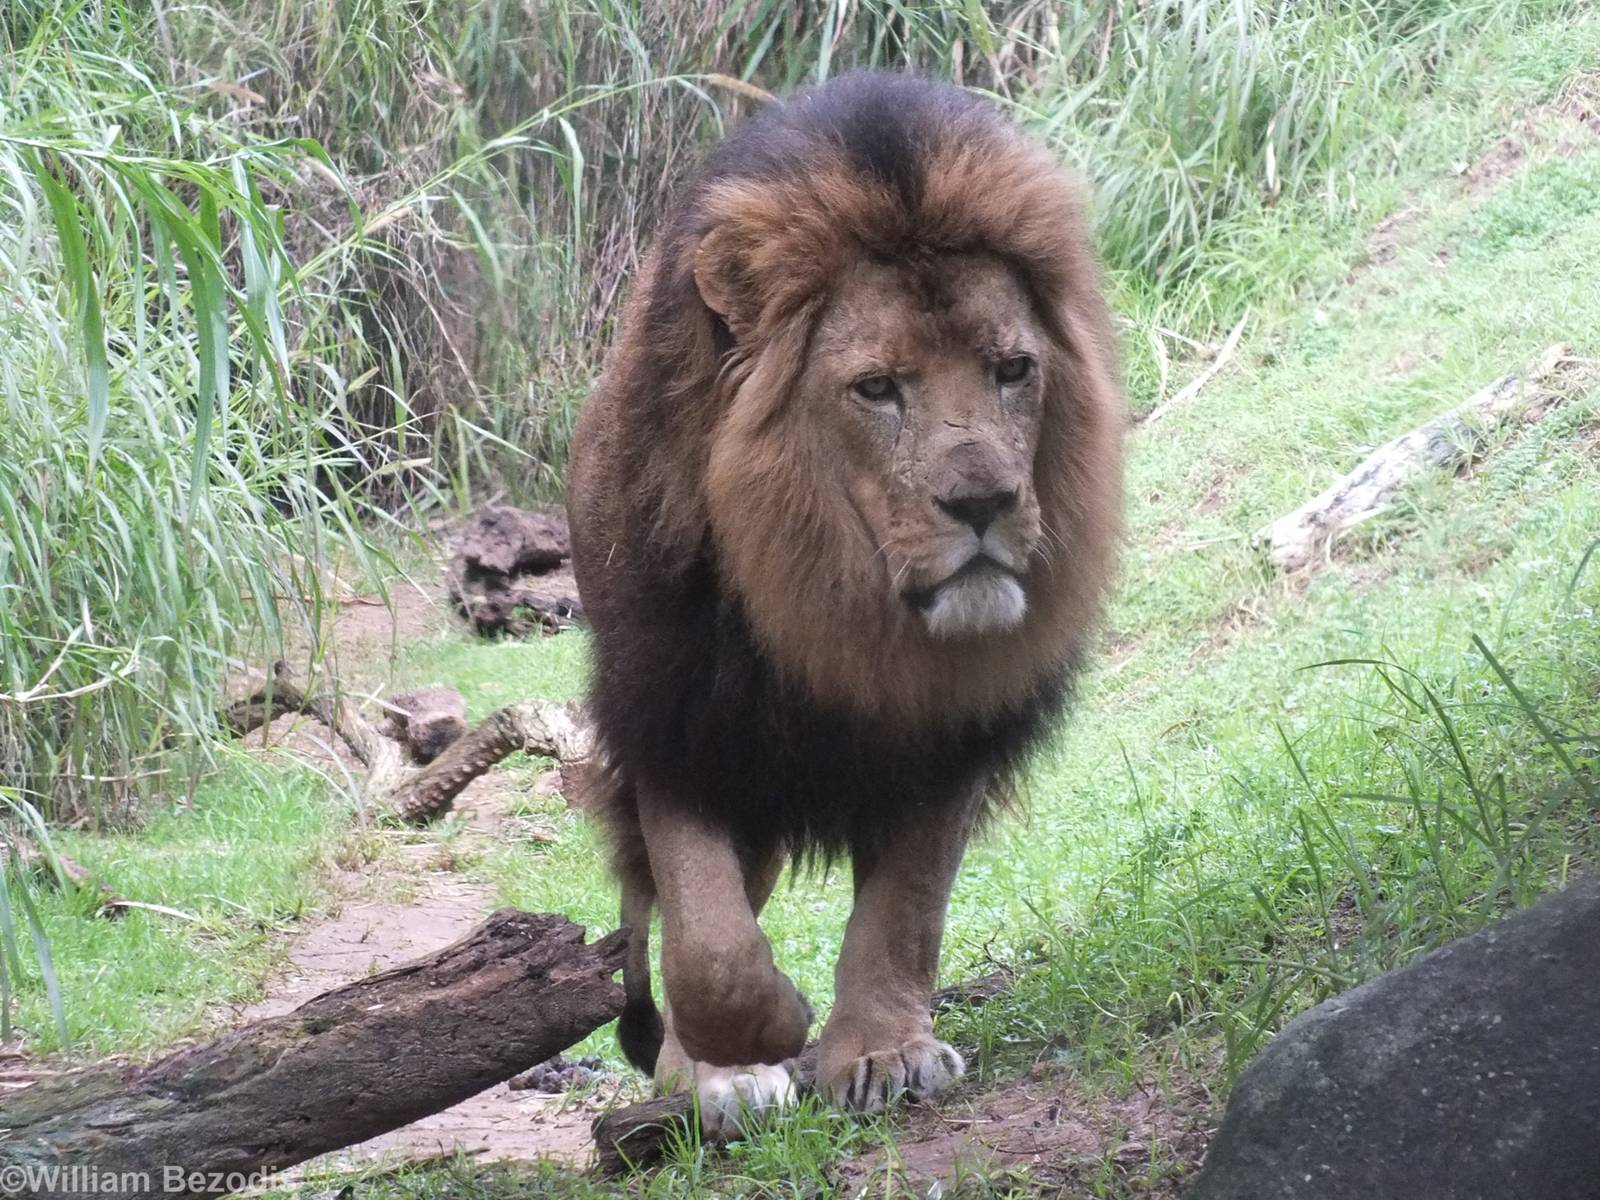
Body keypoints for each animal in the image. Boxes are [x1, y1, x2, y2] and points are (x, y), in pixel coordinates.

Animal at [566, 71, 1122, 1134]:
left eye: (1012, 370)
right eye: (876, 389)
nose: (985, 502)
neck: (836, 610)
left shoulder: (952, 727)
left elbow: (904, 912)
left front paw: (879, 1053)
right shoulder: (676, 715)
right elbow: (707, 946)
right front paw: (757, 1041)